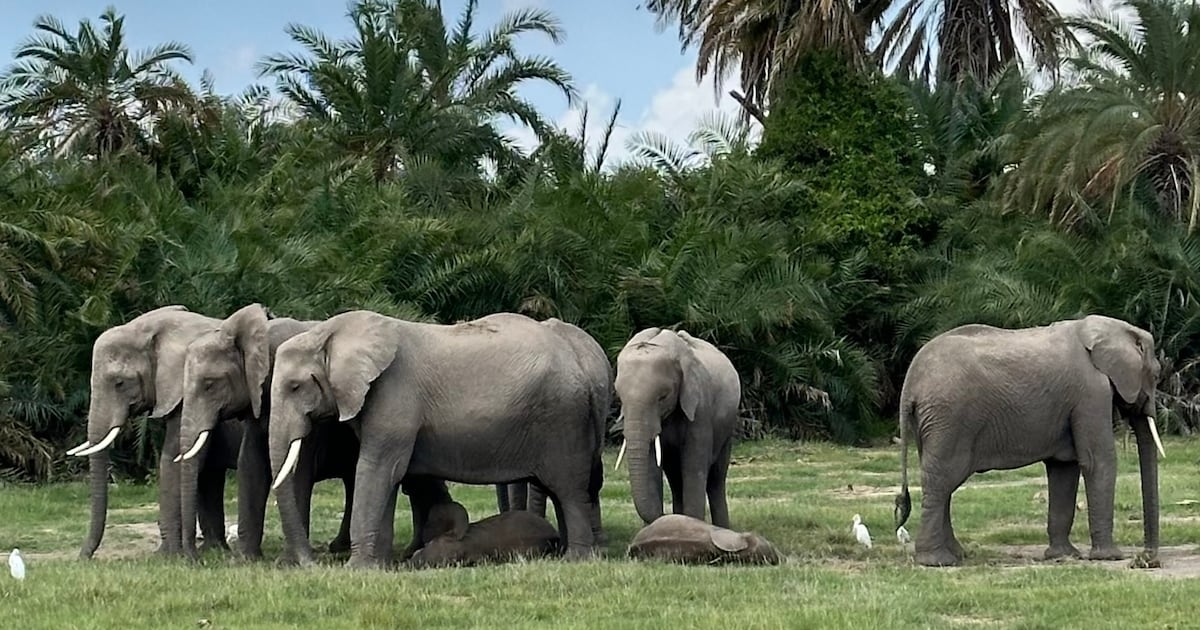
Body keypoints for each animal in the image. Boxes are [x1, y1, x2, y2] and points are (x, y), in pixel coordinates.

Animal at [613, 328, 741, 528]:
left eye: (663, 397)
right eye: (619, 397)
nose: (663, 515)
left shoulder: (700, 409)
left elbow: (693, 467)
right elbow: (651, 467)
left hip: (727, 429)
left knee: (716, 478)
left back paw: (721, 527)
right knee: (675, 479)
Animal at [894, 315, 1164, 568]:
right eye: (1156, 374)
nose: (1147, 557)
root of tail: (910, 384)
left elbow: (1064, 468)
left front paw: (1063, 557)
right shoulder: (1091, 392)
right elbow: (1098, 462)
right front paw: (1109, 557)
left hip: (933, 422)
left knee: (943, 482)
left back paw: (957, 555)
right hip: (950, 416)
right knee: (942, 479)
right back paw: (938, 561)